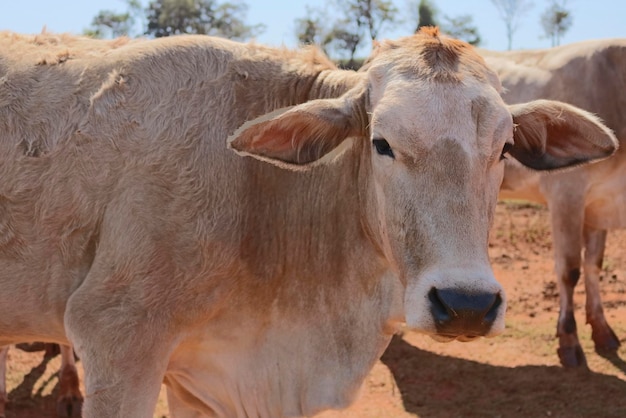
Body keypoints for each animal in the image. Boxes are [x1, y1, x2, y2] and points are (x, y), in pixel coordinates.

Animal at [482, 38, 624, 366]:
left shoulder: (598, 203)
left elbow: (594, 265)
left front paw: (601, 329)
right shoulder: (566, 196)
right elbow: (570, 270)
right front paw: (569, 339)